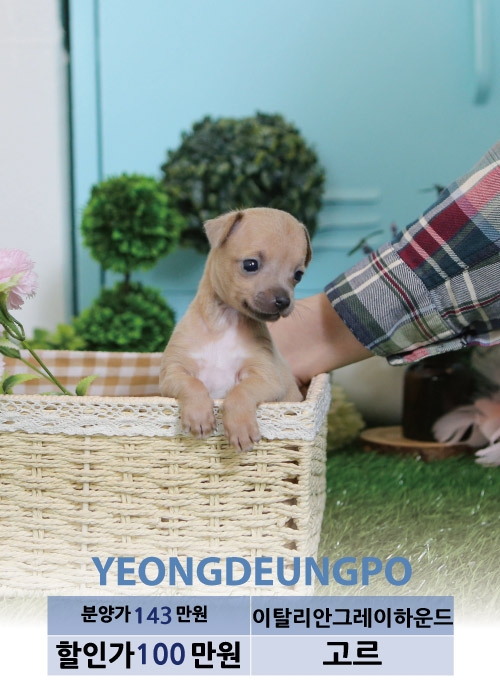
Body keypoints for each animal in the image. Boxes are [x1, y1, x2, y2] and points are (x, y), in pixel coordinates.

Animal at [159, 207, 312, 451]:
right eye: (250, 264)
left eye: (298, 275)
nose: (283, 301)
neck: (225, 323)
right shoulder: (173, 373)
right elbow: (193, 383)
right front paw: (199, 416)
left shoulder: (267, 379)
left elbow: (240, 392)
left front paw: (241, 428)